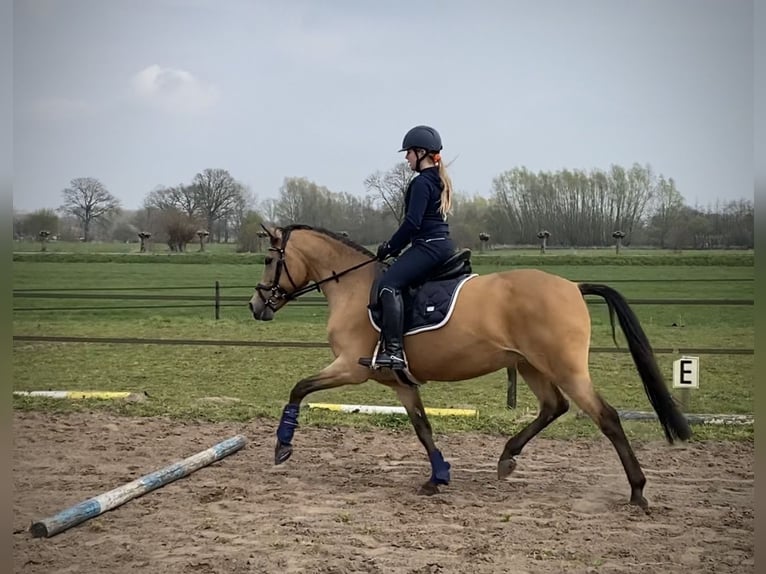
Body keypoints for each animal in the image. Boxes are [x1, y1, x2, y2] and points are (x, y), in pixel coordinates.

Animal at [247, 224, 691, 512]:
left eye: (269, 258)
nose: (255, 306)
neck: (355, 289)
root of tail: (572, 286)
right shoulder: (400, 383)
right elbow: (423, 428)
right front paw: (438, 476)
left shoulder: (349, 368)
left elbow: (299, 388)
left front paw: (282, 447)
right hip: (530, 366)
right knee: (554, 407)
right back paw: (507, 457)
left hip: (565, 368)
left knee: (606, 417)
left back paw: (637, 491)